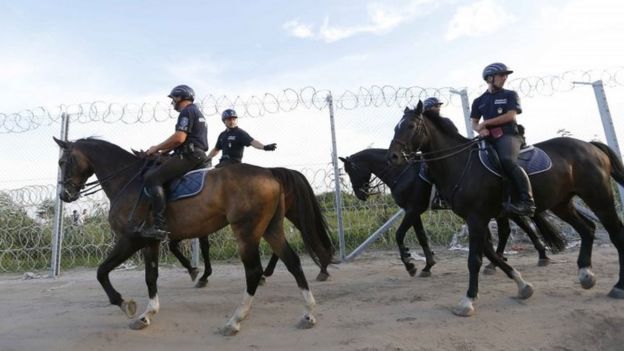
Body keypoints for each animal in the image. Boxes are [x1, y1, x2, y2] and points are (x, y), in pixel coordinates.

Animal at [54, 138, 336, 336]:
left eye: (62, 162)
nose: (64, 195)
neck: (127, 180)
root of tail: (269, 173)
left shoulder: (130, 239)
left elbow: (101, 272)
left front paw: (125, 304)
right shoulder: (151, 241)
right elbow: (150, 276)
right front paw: (147, 314)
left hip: (246, 232)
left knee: (254, 271)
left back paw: (234, 321)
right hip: (271, 228)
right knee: (293, 262)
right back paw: (308, 314)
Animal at [338, 148, 568, 278]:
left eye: (350, 170)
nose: (360, 194)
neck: (402, 171)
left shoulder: (412, 209)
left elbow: (399, 234)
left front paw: (410, 264)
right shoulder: (414, 211)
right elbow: (421, 237)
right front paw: (428, 265)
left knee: (519, 228)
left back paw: (529, 256)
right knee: (516, 228)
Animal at [386, 103, 624, 318]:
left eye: (411, 125)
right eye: (396, 127)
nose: (393, 157)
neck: (460, 163)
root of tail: (590, 146)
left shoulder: (476, 218)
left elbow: (475, 259)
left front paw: (467, 301)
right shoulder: (475, 219)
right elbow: (490, 254)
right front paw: (522, 285)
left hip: (599, 197)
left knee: (615, 233)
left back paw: (618, 286)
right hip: (562, 204)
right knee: (588, 228)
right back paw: (586, 274)